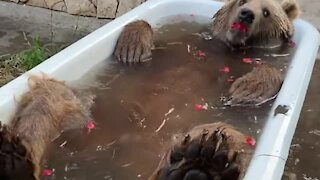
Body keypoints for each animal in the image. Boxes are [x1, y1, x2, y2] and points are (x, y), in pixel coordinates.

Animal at [113, 0, 300, 105]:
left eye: (267, 12)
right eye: (242, 1)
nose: (246, 14)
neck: (228, 47)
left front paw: (247, 88)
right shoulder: (187, 46)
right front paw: (131, 48)